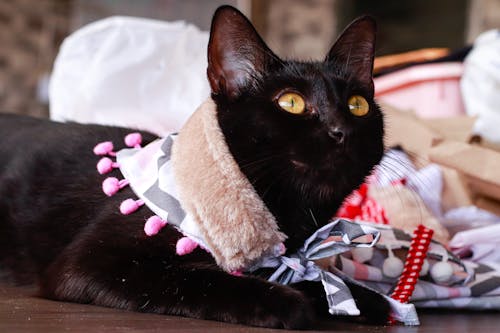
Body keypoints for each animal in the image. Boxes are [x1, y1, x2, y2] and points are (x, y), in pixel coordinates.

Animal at [0, 5, 388, 330]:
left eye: (357, 105)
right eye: (291, 102)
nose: (341, 130)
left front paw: (360, 297)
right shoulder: (90, 263)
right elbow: (199, 279)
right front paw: (284, 302)